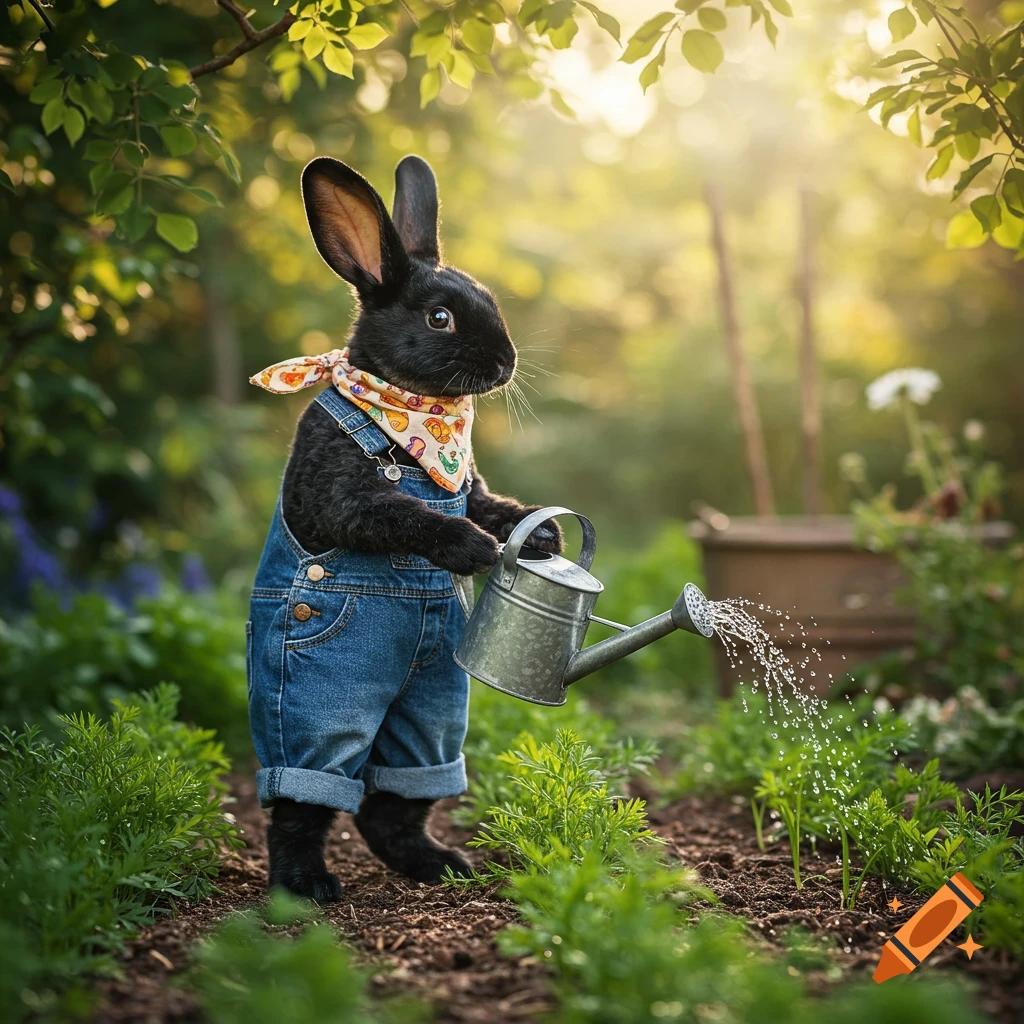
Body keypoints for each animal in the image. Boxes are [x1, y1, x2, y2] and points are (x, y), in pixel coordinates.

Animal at [249, 154, 562, 905]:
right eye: (440, 317)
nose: (505, 363)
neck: (411, 410)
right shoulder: (340, 493)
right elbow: (396, 514)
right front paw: (473, 550)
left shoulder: (470, 488)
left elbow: (488, 504)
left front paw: (539, 540)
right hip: (320, 706)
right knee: (305, 800)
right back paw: (307, 886)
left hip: (433, 714)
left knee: (392, 803)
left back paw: (441, 864)